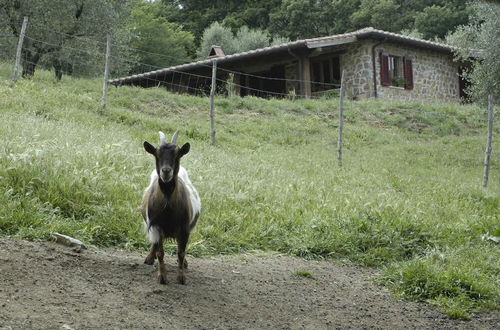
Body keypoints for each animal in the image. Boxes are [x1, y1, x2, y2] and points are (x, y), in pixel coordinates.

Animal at [140, 130, 200, 284]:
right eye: (156, 153)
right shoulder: (156, 226)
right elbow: (160, 252)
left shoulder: (184, 229)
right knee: (155, 244)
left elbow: (181, 252)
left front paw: (181, 277)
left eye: (178, 154)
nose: (166, 171)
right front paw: (162, 277)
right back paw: (149, 258)